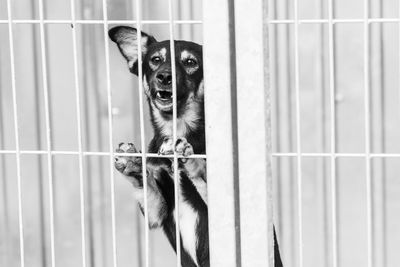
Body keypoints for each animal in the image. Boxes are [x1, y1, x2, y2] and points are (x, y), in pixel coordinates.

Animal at [108, 25, 282, 267]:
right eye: (155, 60)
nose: (164, 76)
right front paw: (132, 164)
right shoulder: (157, 213)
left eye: (190, 62)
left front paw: (187, 157)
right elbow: (147, 184)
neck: (177, 126)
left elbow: (199, 176)